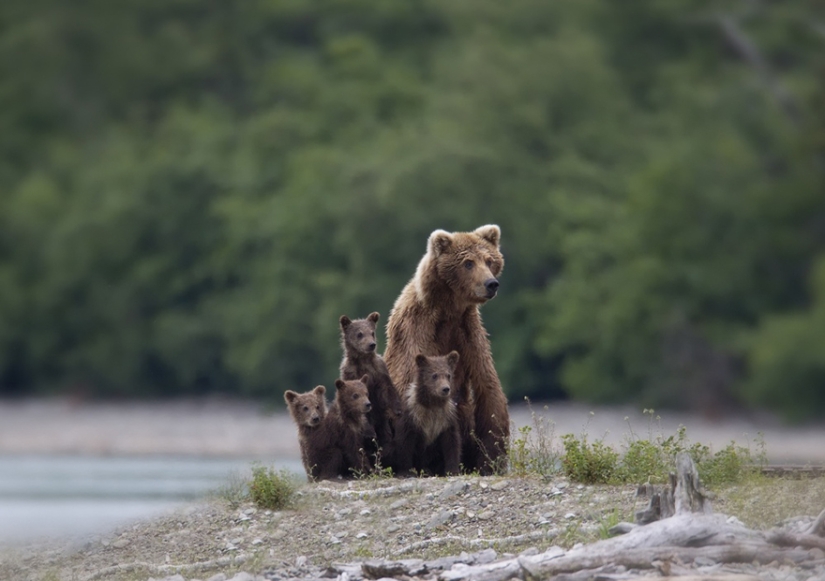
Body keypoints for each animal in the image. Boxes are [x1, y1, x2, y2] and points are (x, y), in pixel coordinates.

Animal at [339, 312, 403, 470]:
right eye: (359, 334)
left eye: (372, 332)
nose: (371, 344)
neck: (363, 361)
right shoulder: (350, 373)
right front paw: (369, 432)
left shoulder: (379, 370)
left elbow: (388, 389)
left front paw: (398, 409)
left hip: (383, 423)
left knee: (385, 438)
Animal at [384, 224, 509, 475]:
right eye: (468, 263)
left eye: (489, 260)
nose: (491, 284)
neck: (449, 311)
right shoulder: (418, 333)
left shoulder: (470, 337)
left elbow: (489, 392)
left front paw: (490, 461)